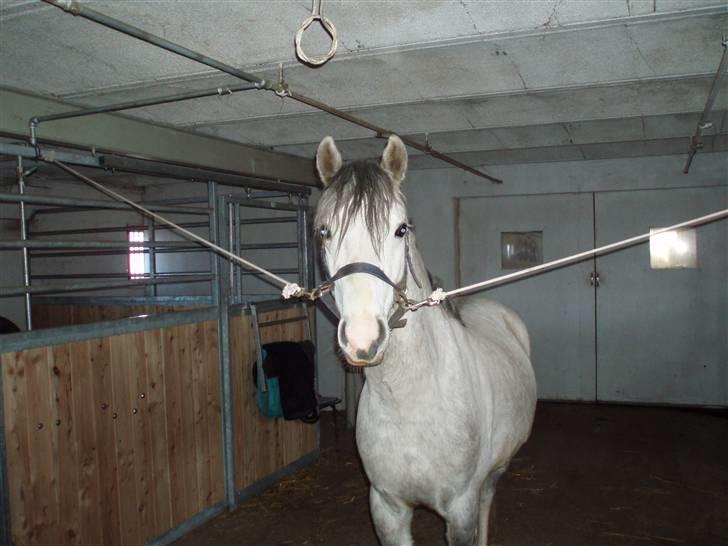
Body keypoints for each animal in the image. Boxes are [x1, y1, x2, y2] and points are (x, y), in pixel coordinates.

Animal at [313, 135, 537, 546]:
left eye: (401, 229)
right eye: (324, 231)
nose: (363, 338)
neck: (409, 402)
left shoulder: (460, 511)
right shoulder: (387, 509)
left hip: (495, 471)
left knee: (488, 498)